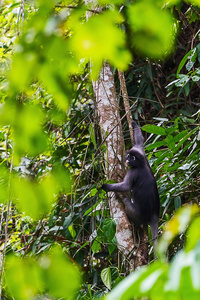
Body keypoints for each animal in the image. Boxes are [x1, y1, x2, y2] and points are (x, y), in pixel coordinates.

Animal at [102, 119, 160, 248]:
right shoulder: (141, 152)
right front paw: (134, 124)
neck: (141, 164)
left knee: (127, 202)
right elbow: (140, 142)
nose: (128, 160)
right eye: (128, 156)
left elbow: (126, 186)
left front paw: (105, 186)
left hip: (138, 215)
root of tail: (154, 214)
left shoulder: (133, 171)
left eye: (132, 158)